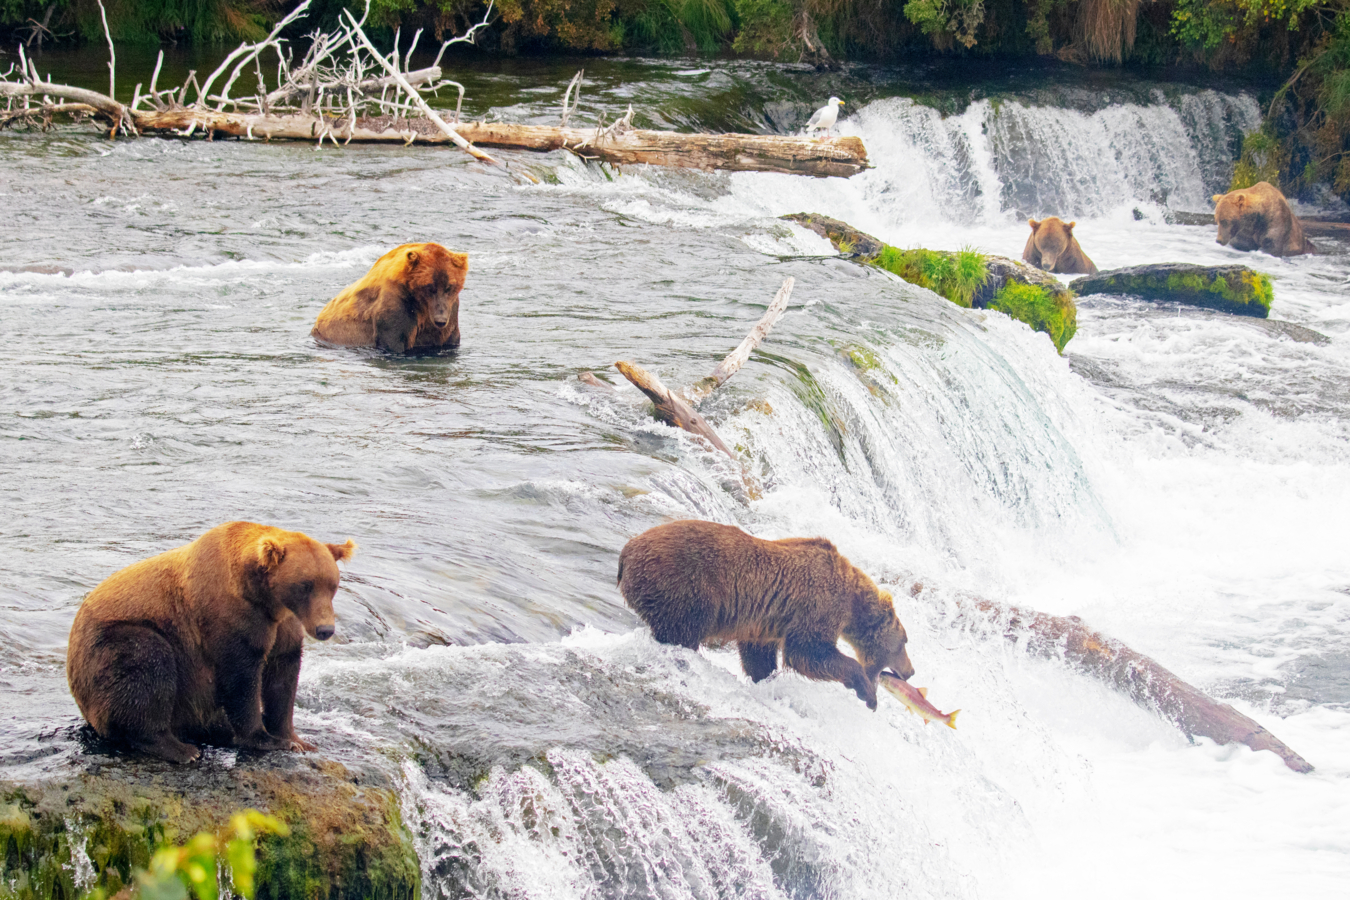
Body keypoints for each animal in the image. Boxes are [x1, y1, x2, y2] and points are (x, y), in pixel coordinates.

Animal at [67, 523, 353, 766]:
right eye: (305, 585)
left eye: (332, 584)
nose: (325, 629)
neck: (265, 599)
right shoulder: (229, 616)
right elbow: (241, 677)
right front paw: (265, 739)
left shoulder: (284, 625)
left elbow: (283, 676)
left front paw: (296, 739)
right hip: (114, 645)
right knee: (147, 667)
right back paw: (180, 749)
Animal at [311, 242, 469, 356]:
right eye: (429, 287)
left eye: (449, 287)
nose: (440, 320)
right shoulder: (397, 303)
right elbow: (394, 339)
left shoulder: (450, 310)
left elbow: (448, 338)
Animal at [618, 520, 918, 712]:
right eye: (904, 642)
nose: (911, 671)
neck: (854, 604)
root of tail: (626, 552)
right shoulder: (819, 604)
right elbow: (808, 651)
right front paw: (867, 693)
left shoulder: (764, 623)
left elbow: (759, 655)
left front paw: (766, 679)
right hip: (684, 586)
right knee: (681, 631)